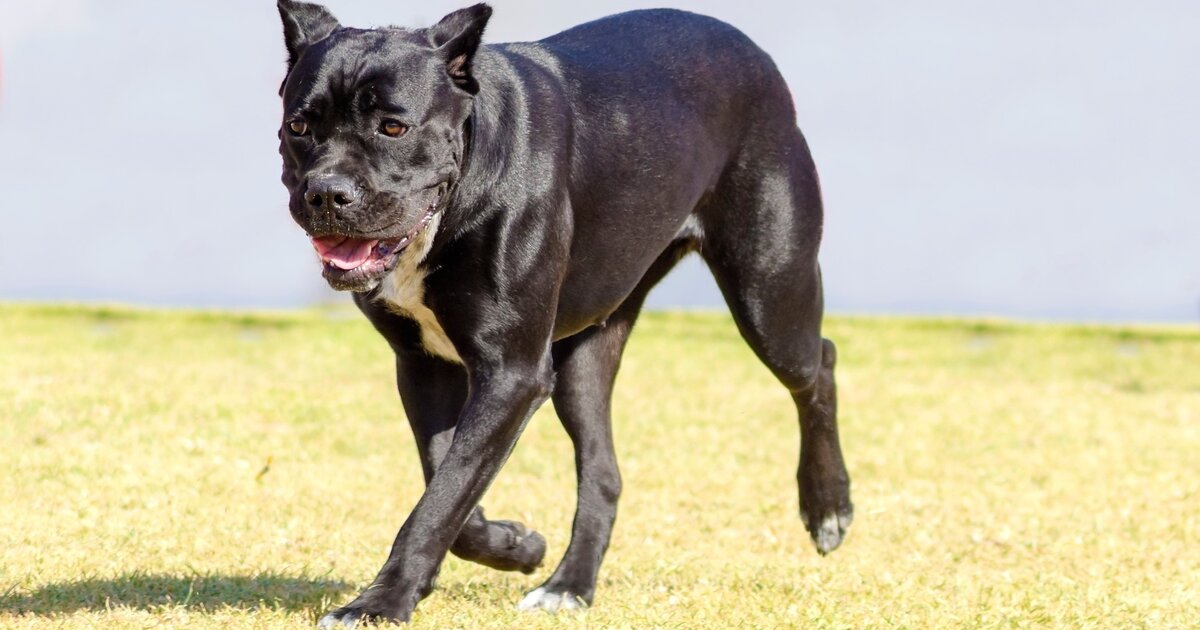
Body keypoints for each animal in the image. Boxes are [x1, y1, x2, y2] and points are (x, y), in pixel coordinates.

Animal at [274, 1, 854, 624]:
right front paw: (515, 545)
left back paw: (828, 508)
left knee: (819, 363)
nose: (327, 194)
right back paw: (569, 586)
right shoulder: (425, 365)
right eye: (299, 127)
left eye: (393, 127)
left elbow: (443, 495)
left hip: (769, 295)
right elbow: (450, 488)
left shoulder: (512, 374)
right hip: (583, 359)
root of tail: (751, 50)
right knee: (602, 471)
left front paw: (380, 603)